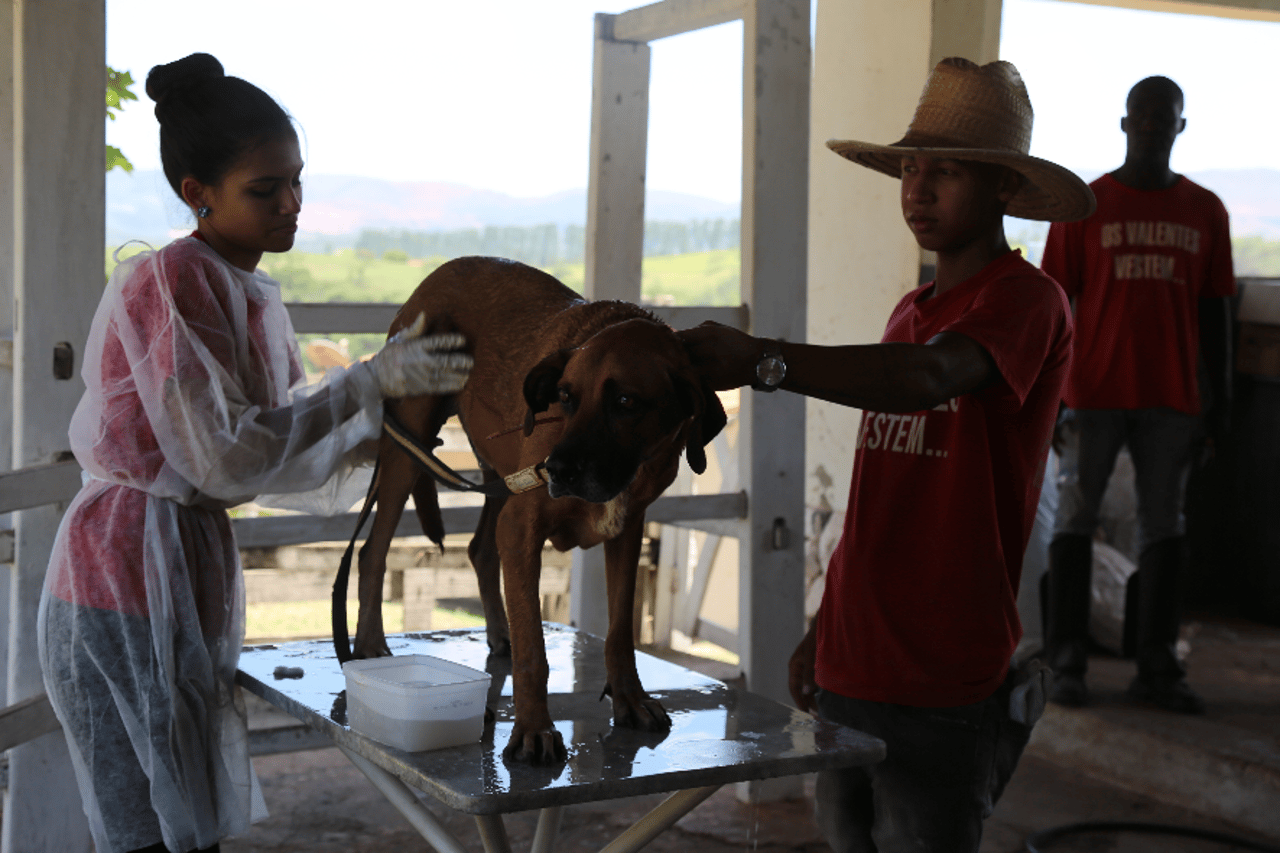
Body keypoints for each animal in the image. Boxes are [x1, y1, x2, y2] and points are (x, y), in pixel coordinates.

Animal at [350, 256, 727, 758]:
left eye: (626, 401)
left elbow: (619, 631)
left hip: (498, 476)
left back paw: (498, 632)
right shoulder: (522, 525)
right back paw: (370, 642)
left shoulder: (626, 531)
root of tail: (430, 280)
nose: (557, 470)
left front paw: (629, 698)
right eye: (565, 397)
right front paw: (532, 729)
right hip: (408, 450)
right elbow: (535, 652)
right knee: (373, 549)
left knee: (480, 550)